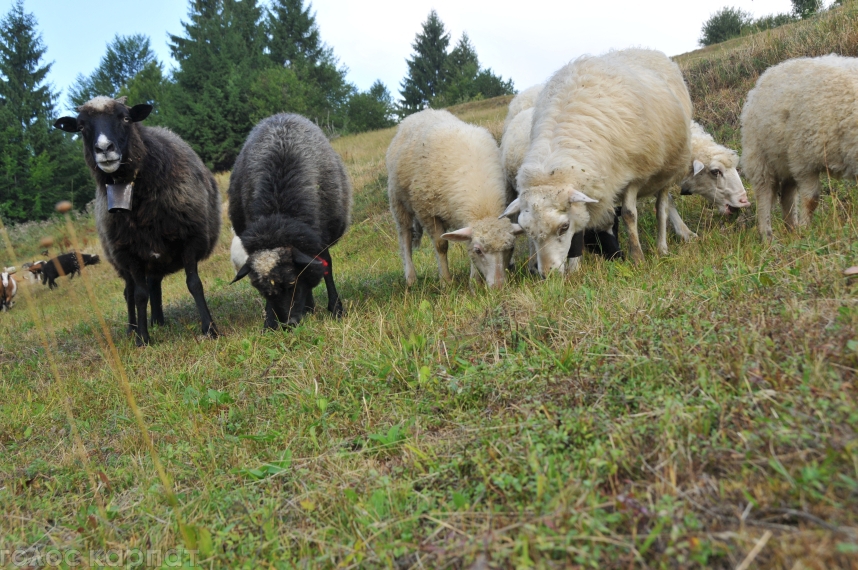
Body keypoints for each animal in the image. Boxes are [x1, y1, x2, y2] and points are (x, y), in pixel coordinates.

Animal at [53, 97, 219, 344]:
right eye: (81, 127)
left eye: (125, 118)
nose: (104, 149)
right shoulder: (129, 253)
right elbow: (140, 296)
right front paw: (142, 338)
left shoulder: (190, 238)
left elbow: (194, 284)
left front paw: (209, 328)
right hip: (123, 261)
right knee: (130, 292)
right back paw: (132, 328)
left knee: (154, 285)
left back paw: (158, 320)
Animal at [227, 113, 352, 326]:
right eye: (260, 290)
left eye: (293, 281)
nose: (288, 324)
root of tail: (280, 115)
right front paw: (269, 322)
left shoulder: (320, 236)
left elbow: (325, 266)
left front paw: (336, 309)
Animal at [386, 108, 520, 286]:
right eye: (479, 250)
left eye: (511, 248)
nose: (498, 286)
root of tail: (422, 112)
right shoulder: (427, 212)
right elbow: (441, 245)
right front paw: (446, 281)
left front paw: (475, 282)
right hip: (398, 201)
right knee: (405, 236)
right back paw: (411, 278)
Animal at [504, 48, 692, 272]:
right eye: (527, 230)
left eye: (563, 227)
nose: (548, 274)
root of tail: (643, 49)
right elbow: (581, 229)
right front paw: (574, 268)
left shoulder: (632, 175)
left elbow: (629, 214)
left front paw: (637, 258)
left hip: (669, 167)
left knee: (662, 207)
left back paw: (662, 246)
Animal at [736, 54, 856, 239]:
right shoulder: (804, 161)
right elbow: (811, 200)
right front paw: (806, 229)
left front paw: (801, 230)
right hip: (760, 155)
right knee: (764, 193)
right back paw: (767, 236)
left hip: (786, 161)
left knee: (786, 193)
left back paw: (791, 229)